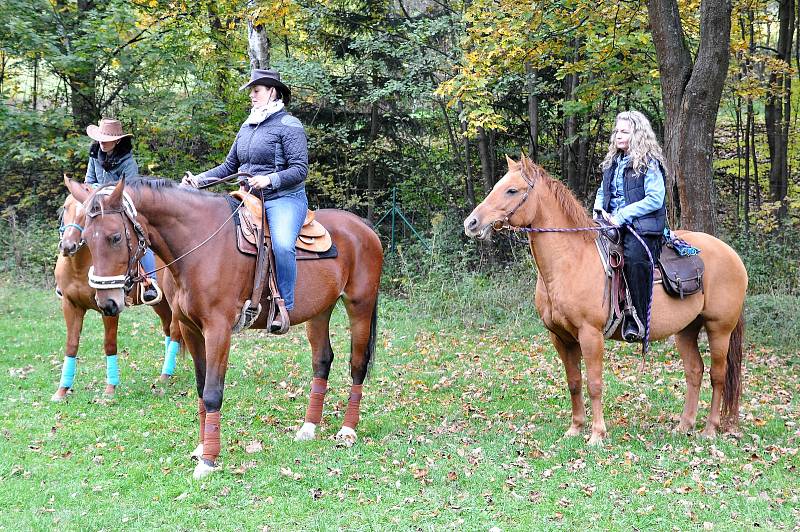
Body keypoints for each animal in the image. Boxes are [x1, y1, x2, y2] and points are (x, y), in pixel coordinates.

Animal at [54, 189, 181, 402]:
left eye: (84, 215)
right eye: (65, 207)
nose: (68, 246)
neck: (79, 268)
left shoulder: (110, 308)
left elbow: (110, 344)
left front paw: (110, 388)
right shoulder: (70, 306)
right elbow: (71, 345)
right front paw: (62, 390)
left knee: (176, 330)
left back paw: (166, 372)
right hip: (160, 303)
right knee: (167, 328)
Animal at [462, 157, 752, 444]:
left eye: (512, 190)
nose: (472, 223)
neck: (571, 260)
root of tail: (732, 255)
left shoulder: (590, 335)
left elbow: (594, 384)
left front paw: (597, 434)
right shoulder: (561, 337)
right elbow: (574, 382)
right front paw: (575, 428)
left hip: (719, 328)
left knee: (718, 376)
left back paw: (710, 429)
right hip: (686, 330)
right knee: (694, 371)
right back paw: (684, 425)